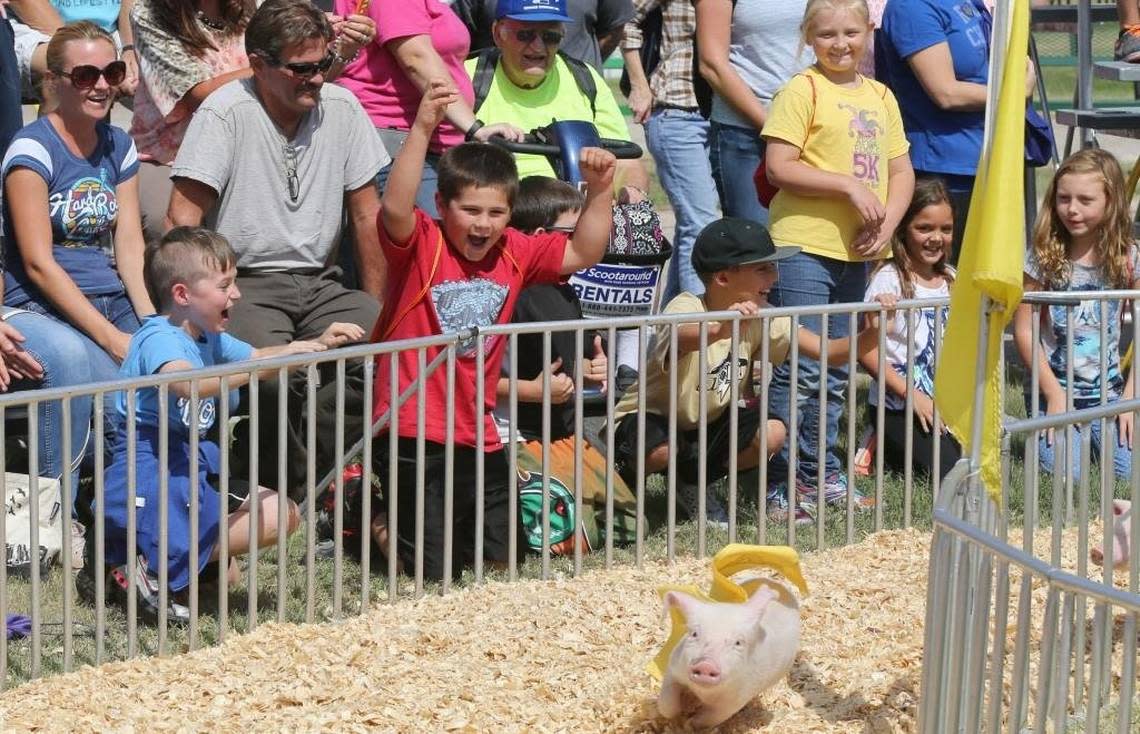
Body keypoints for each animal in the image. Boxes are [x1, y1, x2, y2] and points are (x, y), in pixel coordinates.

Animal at [661, 578, 802, 729]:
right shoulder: (674, 666)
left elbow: (710, 718)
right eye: (694, 634)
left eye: (738, 642)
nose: (706, 664)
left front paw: (689, 724)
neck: (703, 692)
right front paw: (677, 717)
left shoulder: (735, 700)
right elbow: (666, 704)